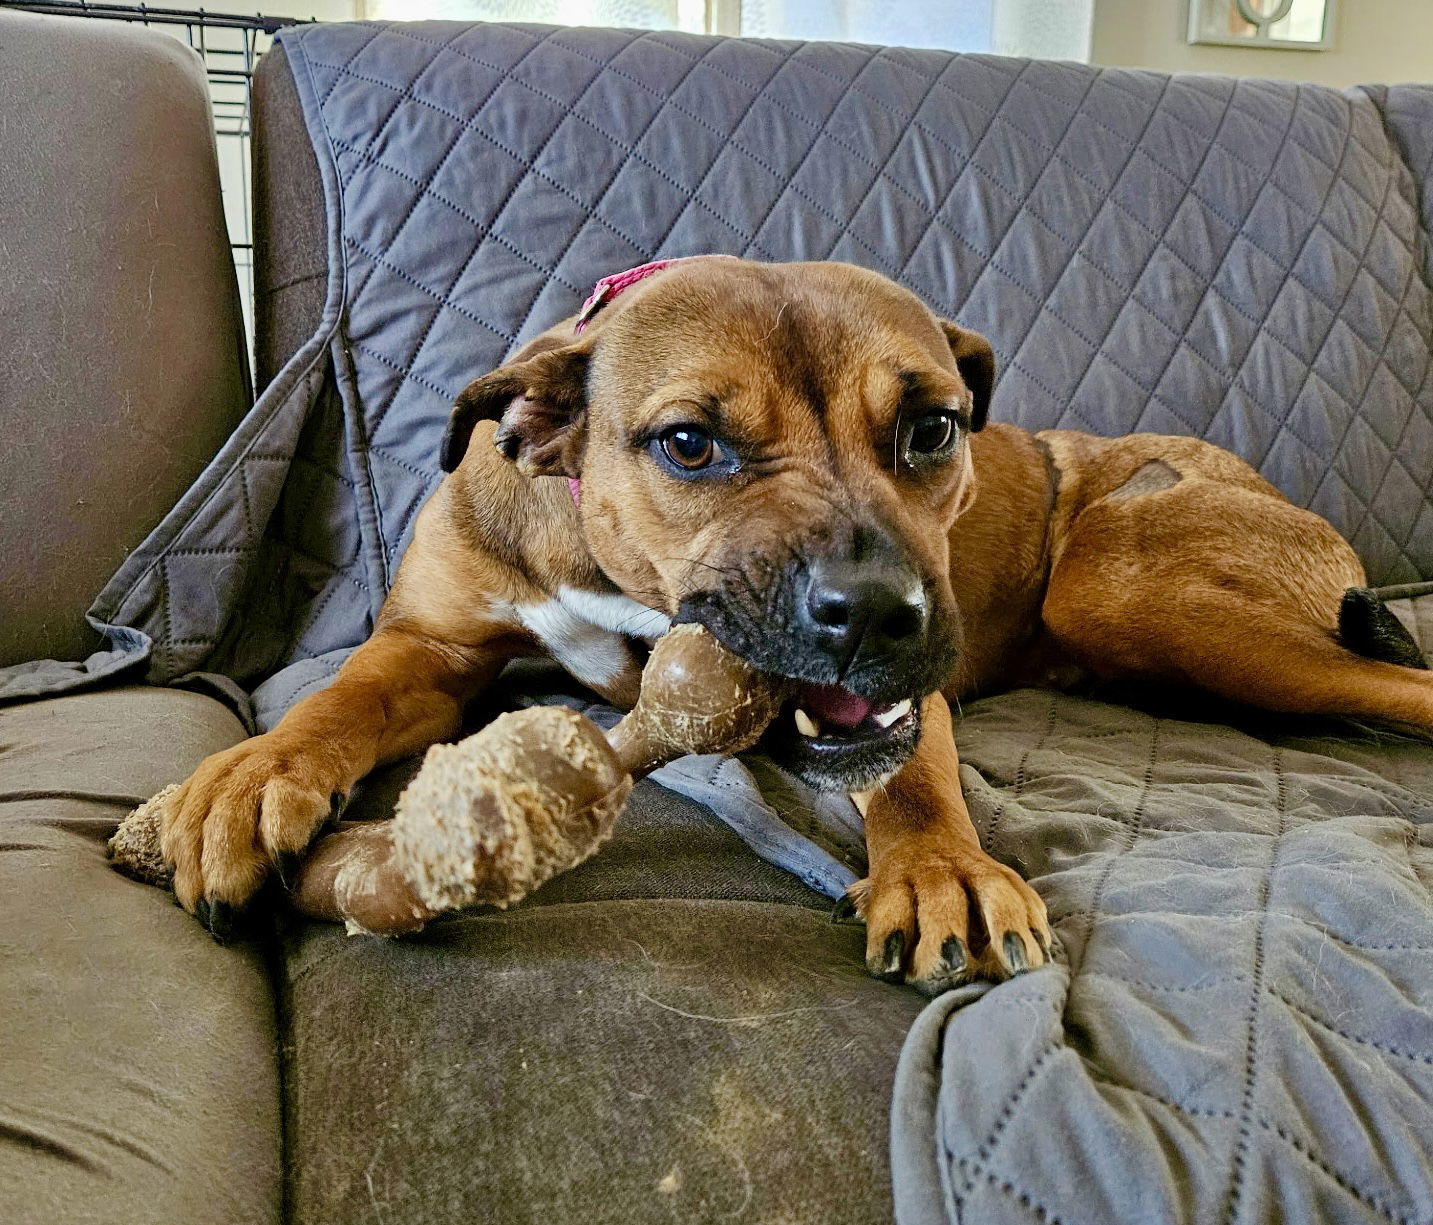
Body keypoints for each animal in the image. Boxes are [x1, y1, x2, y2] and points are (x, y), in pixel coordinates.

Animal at [159, 259, 1433, 997]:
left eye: (931, 429)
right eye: (688, 444)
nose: (876, 612)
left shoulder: (900, 695)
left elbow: (909, 771)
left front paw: (942, 870)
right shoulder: (429, 648)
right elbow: (340, 696)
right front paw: (249, 778)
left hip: (1124, 578)